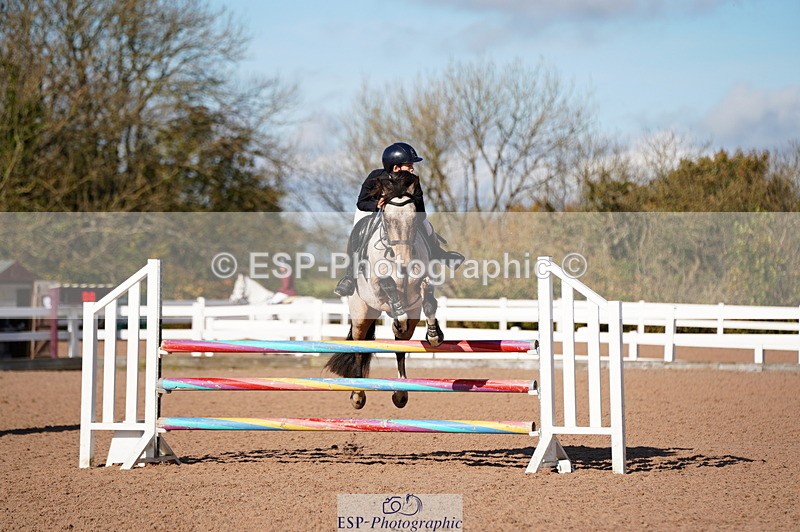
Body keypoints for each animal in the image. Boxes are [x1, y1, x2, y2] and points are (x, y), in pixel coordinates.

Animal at [325, 171, 444, 409]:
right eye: (388, 220)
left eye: (413, 218)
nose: (404, 263)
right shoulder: (377, 285)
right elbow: (388, 286)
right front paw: (398, 314)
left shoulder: (419, 289)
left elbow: (428, 299)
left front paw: (434, 334)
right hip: (361, 314)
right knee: (359, 345)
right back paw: (358, 394)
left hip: (409, 317)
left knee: (401, 345)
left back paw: (400, 393)